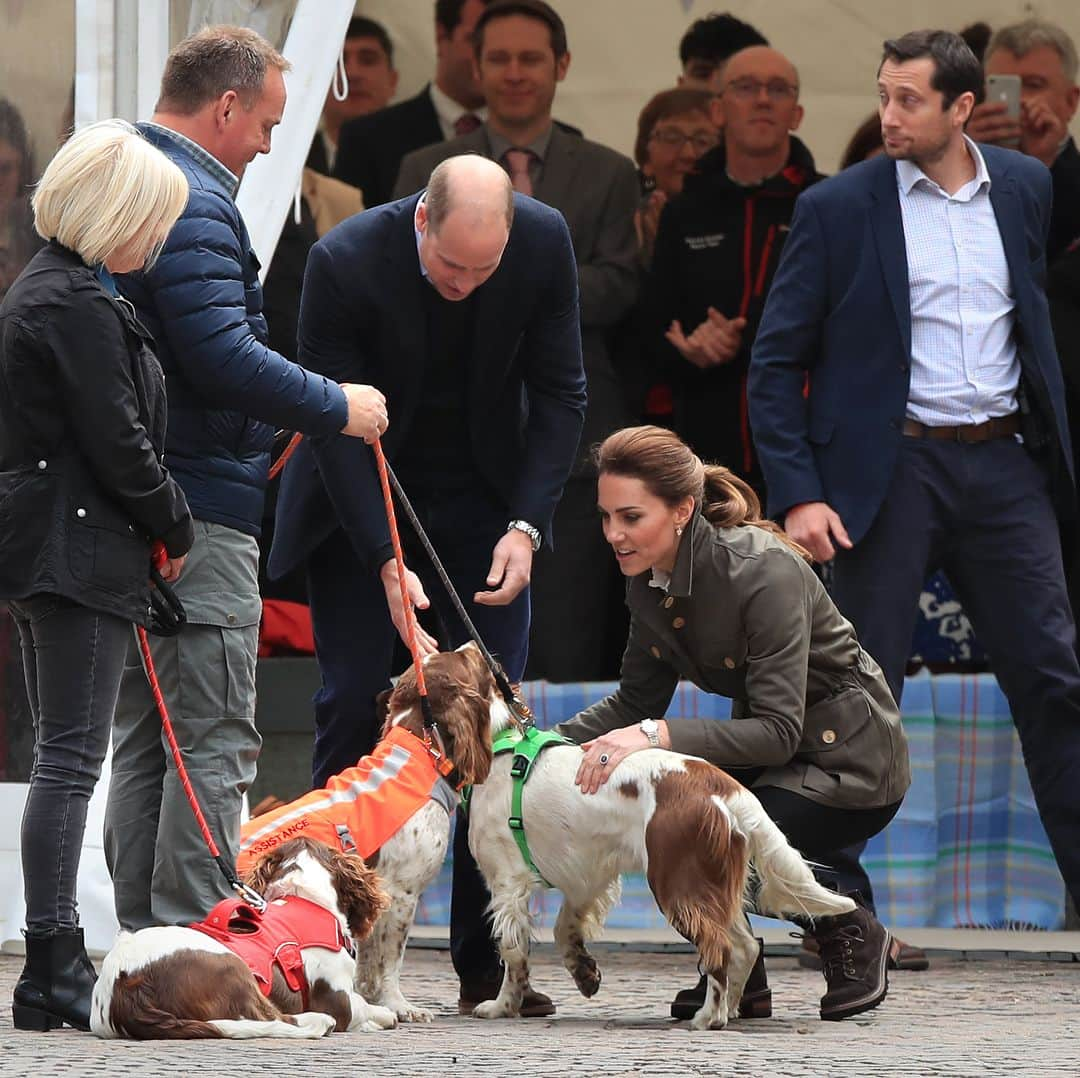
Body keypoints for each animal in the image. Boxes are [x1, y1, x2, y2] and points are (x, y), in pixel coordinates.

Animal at [90, 838, 397, 1041]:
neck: (302, 896)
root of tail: (124, 987)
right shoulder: (337, 1000)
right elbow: (361, 1006)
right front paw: (385, 1015)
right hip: (232, 968)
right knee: (272, 1018)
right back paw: (320, 1022)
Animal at [236, 643, 496, 1023]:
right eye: (462, 659)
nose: (475, 645)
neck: (418, 752)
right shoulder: (401, 893)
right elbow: (390, 960)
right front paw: (399, 1005)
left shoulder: (371, 894)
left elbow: (367, 958)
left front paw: (370, 997)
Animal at [468, 708, 855, 1028]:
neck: (500, 747)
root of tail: (722, 785)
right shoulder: (586, 875)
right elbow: (564, 929)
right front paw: (585, 973)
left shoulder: (508, 883)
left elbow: (513, 951)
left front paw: (501, 1006)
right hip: (713, 885)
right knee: (746, 947)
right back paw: (729, 1009)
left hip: (677, 885)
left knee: (719, 946)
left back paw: (709, 1017)